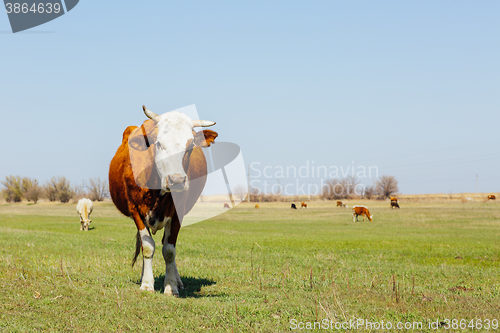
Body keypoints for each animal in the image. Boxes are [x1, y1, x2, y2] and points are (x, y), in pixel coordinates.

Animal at [108, 105, 218, 294]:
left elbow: (169, 250)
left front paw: (171, 286)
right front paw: (146, 283)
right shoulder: (135, 209)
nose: (177, 180)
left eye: (190, 146)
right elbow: (147, 246)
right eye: (158, 143)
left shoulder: (177, 212)